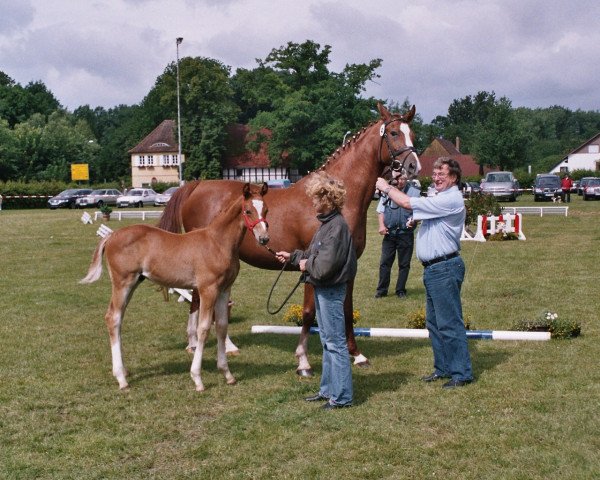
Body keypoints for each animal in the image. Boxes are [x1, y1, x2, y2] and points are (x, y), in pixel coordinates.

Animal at [81, 183, 268, 390]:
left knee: (118, 318)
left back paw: (123, 372)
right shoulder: (208, 290)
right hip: (123, 282)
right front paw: (197, 378)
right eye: (248, 210)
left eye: (266, 210)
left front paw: (227, 374)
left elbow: (221, 326)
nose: (264, 238)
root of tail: (112, 235)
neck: (218, 242)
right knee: (112, 318)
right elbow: (203, 329)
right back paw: (121, 379)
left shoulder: (224, 290)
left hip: (133, 282)